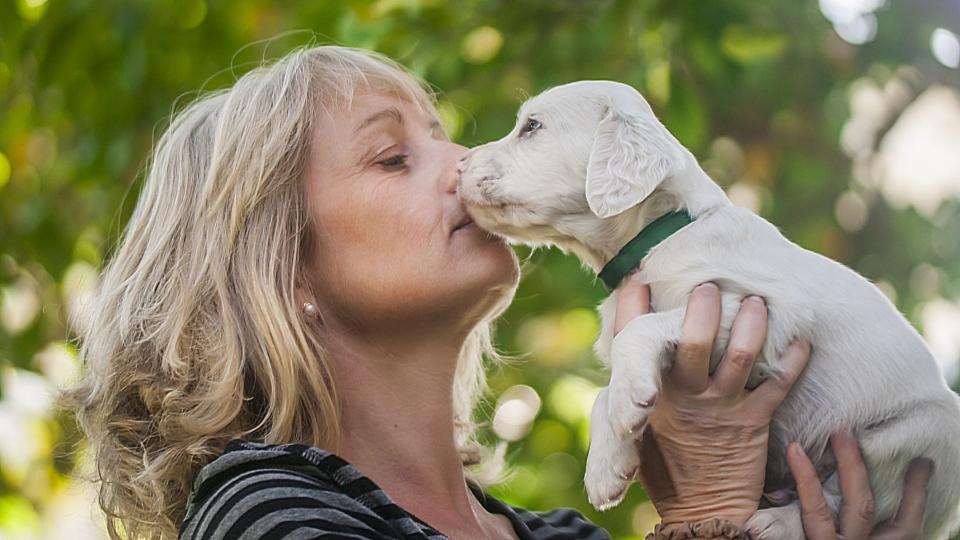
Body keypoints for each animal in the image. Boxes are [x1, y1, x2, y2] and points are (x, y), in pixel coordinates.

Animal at [458, 81, 960, 540]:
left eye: (532, 126)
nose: (459, 163)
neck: (661, 236)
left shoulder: (765, 310)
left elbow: (636, 333)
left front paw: (628, 403)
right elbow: (606, 384)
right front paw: (606, 467)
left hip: (916, 438)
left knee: (850, 497)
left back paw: (778, 523)